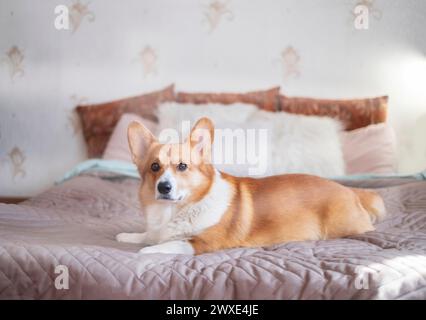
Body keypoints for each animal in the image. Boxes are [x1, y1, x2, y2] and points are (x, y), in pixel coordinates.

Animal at [116, 117, 386, 255]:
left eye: (182, 166)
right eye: (154, 167)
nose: (163, 188)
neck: (175, 210)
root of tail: (350, 191)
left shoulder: (201, 243)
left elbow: (164, 245)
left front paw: (147, 250)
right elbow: (147, 236)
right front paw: (129, 236)